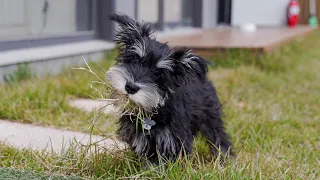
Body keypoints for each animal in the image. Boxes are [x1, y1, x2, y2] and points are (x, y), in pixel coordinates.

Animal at [106, 12, 234, 162]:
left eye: (158, 73)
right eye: (135, 59)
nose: (131, 87)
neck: (154, 108)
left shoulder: (172, 140)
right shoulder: (141, 138)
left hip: (211, 117)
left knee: (218, 138)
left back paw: (224, 159)